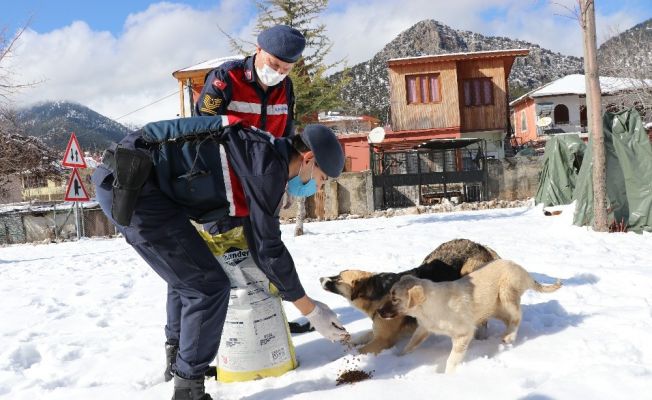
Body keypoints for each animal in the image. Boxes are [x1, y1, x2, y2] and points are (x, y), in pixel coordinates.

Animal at [320, 238, 500, 354]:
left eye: (338, 279)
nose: (320, 278)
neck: (378, 293)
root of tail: (480, 246)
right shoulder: (377, 332)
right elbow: (359, 337)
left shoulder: (383, 340)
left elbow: (358, 351)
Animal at [376, 258, 560, 374]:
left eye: (395, 299)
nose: (378, 311)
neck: (427, 307)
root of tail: (524, 271)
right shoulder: (424, 328)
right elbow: (410, 345)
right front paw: (397, 358)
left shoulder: (463, 334)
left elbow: (452, 360)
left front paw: (447, 377)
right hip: (494, 307)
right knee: (510, 319)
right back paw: (506, 335)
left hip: (507, 293)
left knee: (518, 316)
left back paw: (510, 337)